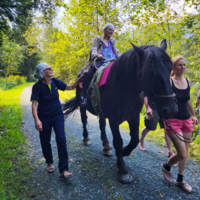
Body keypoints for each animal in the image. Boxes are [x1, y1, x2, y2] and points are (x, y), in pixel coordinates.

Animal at [63, 39, 177, 184]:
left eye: (170, 69)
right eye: (151, 72)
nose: (171, 109)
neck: (123, 87)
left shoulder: (133, 117)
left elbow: (134, 139)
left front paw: (123, 152)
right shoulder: (113, 119)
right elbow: (118, 141)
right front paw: (122, 169)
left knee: (101, 124)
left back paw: (106, 146)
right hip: (82, 104)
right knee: (84, 119)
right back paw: (86, 138)